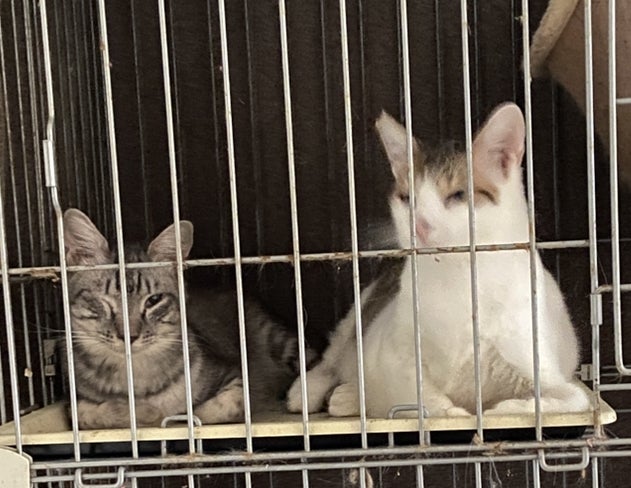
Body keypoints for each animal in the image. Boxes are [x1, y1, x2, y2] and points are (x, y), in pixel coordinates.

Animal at [62, 208, 314, 429]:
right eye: (102, 300)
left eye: (154, 300)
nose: (129, 336)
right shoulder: (75, 403)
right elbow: (91, 413)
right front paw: (142, 411)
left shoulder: (236, 373)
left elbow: (228, 404)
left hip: (279, 340)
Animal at [287, 103, 591, 418]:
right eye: (408, 198)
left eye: (457, 195)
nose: (419, 225)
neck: (458, 276)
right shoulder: (390, 354)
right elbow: (418, 394)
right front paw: (451, 411)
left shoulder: (542, 364)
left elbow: (573, 399)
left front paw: (502, 409)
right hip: (359, 310)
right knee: (334, 359)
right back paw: (315, 394)